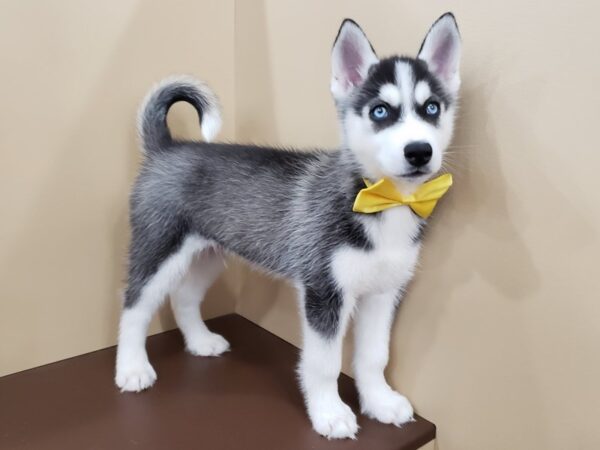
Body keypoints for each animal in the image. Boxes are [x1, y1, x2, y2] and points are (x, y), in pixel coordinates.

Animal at [115, 13, 462, 440]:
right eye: (380, 112)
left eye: (432, 107)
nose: (419, 152)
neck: (381, 200)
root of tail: (168, 147)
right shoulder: (323, 293)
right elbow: (325, 363)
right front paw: (329, 412)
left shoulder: (383, 292)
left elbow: (374, 356)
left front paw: (379, 401)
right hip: (158, 248)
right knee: (134, 304)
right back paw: (132, 369)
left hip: (210, 252)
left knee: (183, 296)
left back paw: (200, 342)